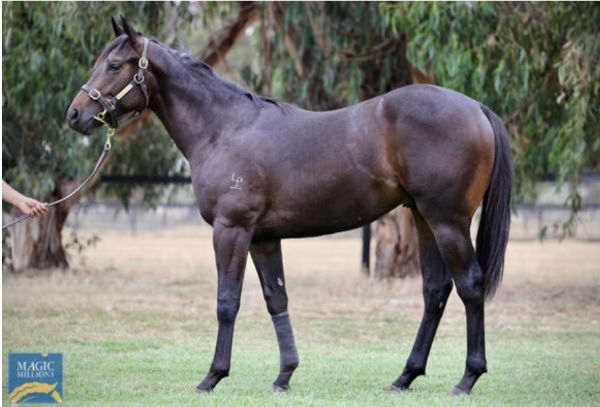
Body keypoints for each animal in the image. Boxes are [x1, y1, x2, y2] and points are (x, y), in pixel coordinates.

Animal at [68, 18, 512, 396]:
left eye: (113, 65)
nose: (74, 115)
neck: (223, 129)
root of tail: (476, 108)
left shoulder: (232, 229)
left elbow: (227, 302)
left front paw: (213, 376)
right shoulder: (263, 238)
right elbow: (276, 300)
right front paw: (284, 375)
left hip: (448, 220)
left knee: (470, 285)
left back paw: (467, 378)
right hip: (423, 217)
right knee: (435, 291)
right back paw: (405, 377)